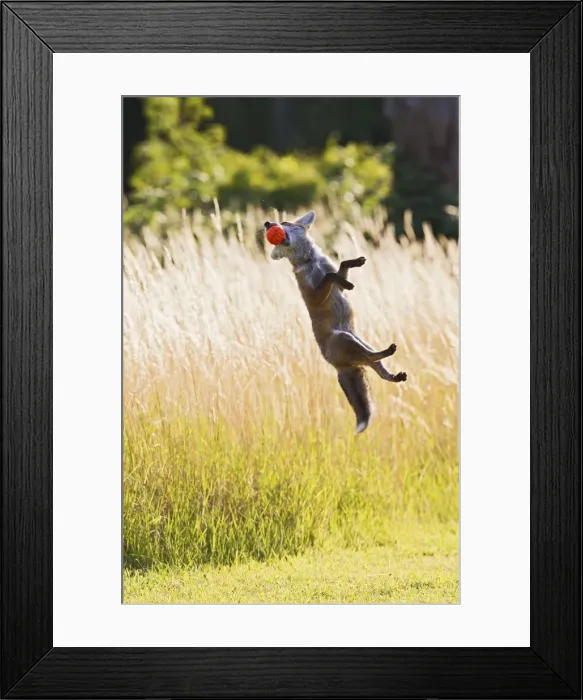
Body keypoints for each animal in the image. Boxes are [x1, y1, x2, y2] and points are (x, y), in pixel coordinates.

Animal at [265, 210, 407, 434]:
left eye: (285, 222)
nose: (267, 224)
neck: (311, 262)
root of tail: (338, 367)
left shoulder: (333, 280)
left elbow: (340, 267)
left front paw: (355, 263)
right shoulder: (312, 295)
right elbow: (331, 276)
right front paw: (347, 282)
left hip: (360, 342)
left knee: (378, 369)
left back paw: (394, 375)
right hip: (347, 339)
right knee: (371, 359)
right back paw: (387, 352)